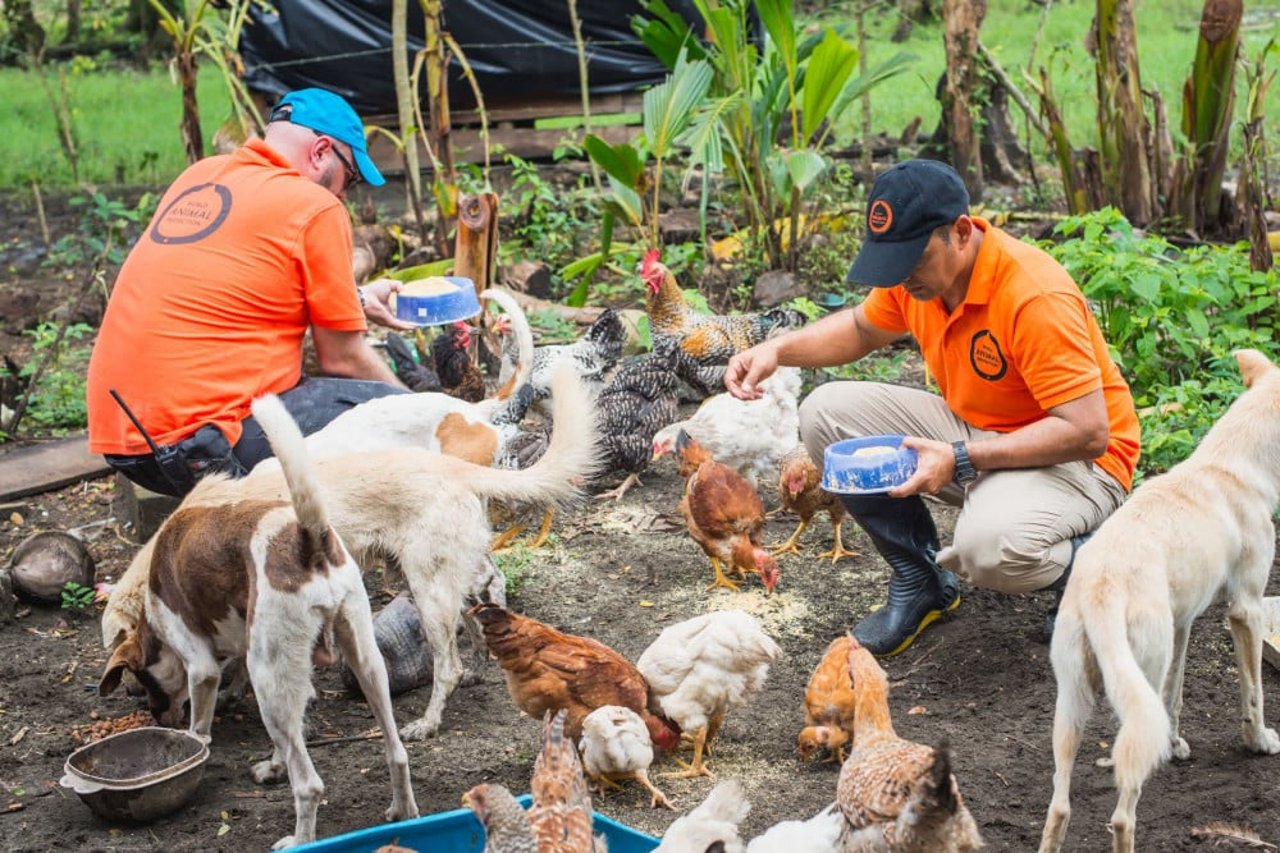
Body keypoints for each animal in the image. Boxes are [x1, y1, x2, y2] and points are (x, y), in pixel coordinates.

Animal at [101, 391, 419, 845]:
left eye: (143, 680)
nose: (157, 717)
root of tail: (308, 537)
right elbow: (287, 731)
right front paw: (273, 761)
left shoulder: (201, 667)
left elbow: (201, 728)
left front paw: (195, 746)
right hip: (365, 664)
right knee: (396, 752)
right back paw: (403, 812)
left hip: (270, 676)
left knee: (310, 786)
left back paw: (301, 840)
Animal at [1034, 348, 1280, 850]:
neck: (1234, 466)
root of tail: (1103, 587)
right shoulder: (1245, 608)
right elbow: (1254, 693)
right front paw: (1260, 742)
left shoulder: (1181, 625)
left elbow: (1174, 693)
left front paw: (1173, 745)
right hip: (1130, 680)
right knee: (1122, 817)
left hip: (1074, 700)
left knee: (1060, 806)